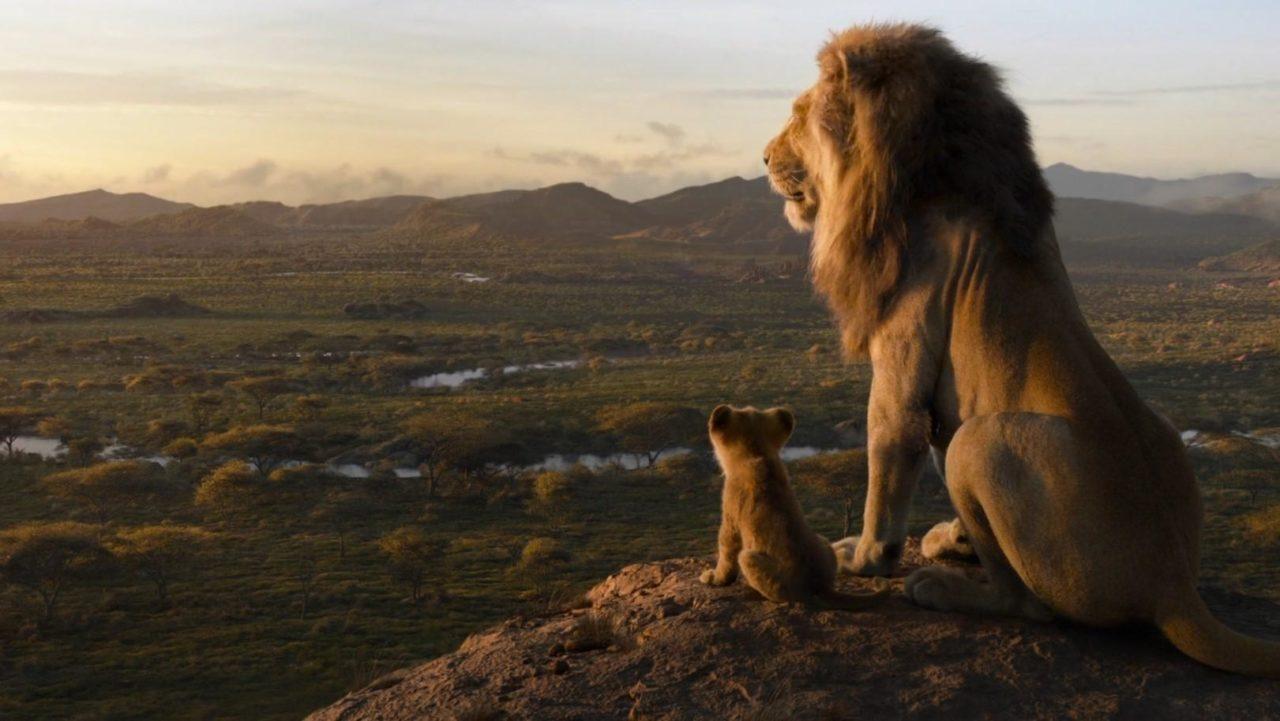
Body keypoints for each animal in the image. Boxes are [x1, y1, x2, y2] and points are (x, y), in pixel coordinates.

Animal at [702, 405, 886, 610]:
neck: (758, 452)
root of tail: (820, 586)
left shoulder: (731, 516)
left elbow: (726, 553)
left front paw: (712, 577)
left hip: (750, 559)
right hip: (823, 541)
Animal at [763, 23, 1280, 676]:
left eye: (797, 115)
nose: (763, 157)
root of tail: (1172, 586)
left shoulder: (904, 340)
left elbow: (889, 436)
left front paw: (863, 557)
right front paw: (948, 539)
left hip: (979, 445)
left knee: (1029, 604)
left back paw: (942, 585)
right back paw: (954, 543)